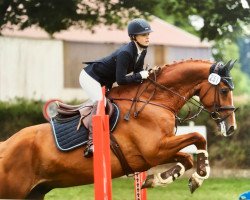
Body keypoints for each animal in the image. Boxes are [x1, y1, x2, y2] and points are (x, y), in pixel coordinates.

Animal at [0, 59, 236, 198]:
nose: (231, 128)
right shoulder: (155, 150)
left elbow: (186, 157)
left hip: (35, 192)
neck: (155, 101)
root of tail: (5, 146)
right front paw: (199, 176)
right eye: (224, 90)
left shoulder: (157, 153)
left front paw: (157, 180)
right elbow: (197, 137)